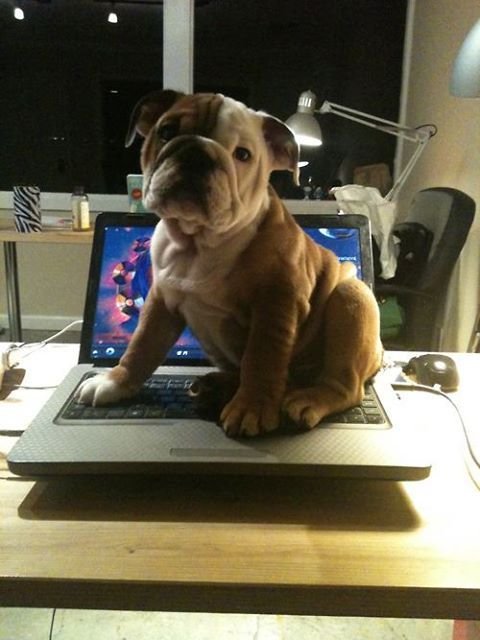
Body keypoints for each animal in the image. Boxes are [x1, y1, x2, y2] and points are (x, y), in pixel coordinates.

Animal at [76, 90, 382, 438]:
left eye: (243, 155)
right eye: (166, 131)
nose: (198, 153)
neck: (199, 241)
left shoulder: (275, 304)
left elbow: (261, 359)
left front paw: (251, 407)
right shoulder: (160, 301)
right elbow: (142, 345)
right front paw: (115, 381)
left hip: (350, 300)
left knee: (344, 386)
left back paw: (307, 400)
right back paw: (216, 385)